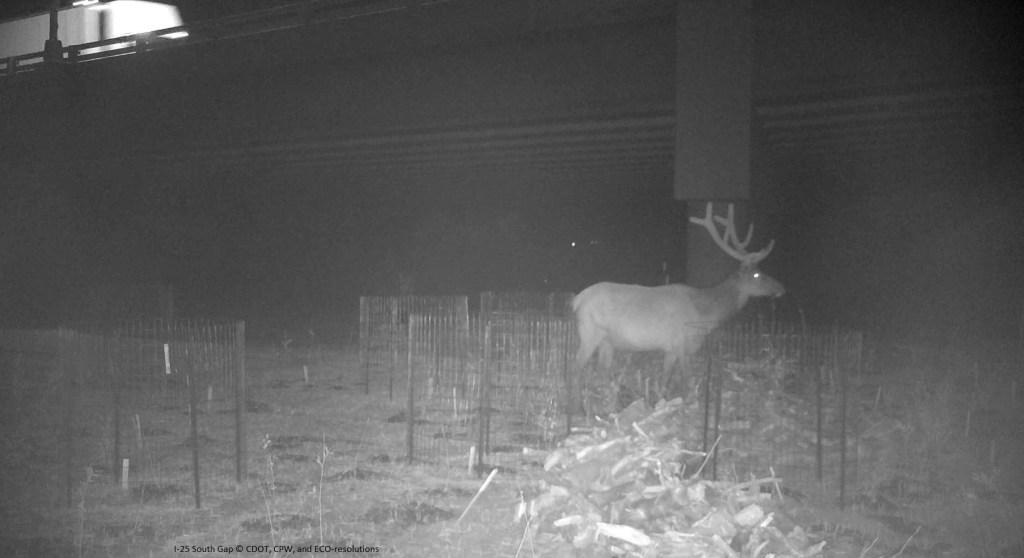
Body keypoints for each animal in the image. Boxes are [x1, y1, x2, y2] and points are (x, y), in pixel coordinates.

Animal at [573, 202, 778, 393]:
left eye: (761, 271)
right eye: (757, 275)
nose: (781, 288)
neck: (705, 315)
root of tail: (577, 300)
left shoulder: (670, 349)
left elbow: (664, 379)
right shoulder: (682, 344)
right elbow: (688, 381)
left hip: (607, 341)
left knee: (602, 370)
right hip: (590, 332)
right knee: (576, 367)